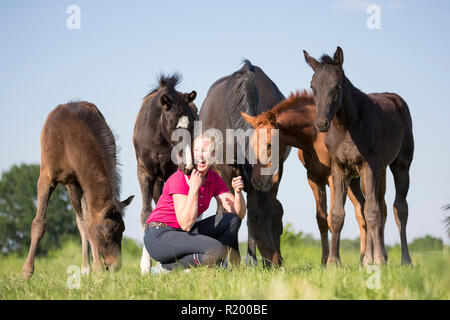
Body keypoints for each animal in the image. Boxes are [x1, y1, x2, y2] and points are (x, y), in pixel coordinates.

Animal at [22, 102, 134, 278]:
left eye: (123, 230)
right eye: (108, 234)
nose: (115, 266)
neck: (69, 143)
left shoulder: (82, 183)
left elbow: (89, 224)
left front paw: (97, 268)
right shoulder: (46, 177)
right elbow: (39, 223)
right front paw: (27, 271)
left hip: (76, 186)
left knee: (84, 221)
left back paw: (87, 267)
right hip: (71, 186)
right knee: (81, 221)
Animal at [133, 74, 198, 274]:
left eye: (192, 125)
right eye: (172, 125)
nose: (188, 165)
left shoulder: (171, 172)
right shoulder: (145, 173)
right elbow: (147, 213)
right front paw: (145, 265)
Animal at [199, 60, 290, 268]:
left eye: (280, 217)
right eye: (258, 222)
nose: (276, 262)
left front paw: (251, 260)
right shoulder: (225, 170)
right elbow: (232, 212)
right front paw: (232, 260)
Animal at [241, 90, 368, 264]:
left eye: (269, 144)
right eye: (252, 145)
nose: (257, 181)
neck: (315, 137)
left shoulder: (332, 177)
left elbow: (333, 217)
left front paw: (334, 262)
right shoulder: (314, 178)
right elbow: (322, 219)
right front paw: (324, 260)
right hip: (353, 182)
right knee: (361, 210)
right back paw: (364, 259)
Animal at [304, 47, 414, 268]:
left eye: (337, 85)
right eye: (312, 86)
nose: (321, 123)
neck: (346, 125)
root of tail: (396, 99)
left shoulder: (367, 166)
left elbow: (372, 211)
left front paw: (379, 260)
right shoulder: (339, 169)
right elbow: (337, 214)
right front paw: (332, 263)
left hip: (401, 165)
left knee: (399, 208)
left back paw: (404, 260)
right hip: (378, 171)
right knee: (379, 206)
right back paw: (369, 259)